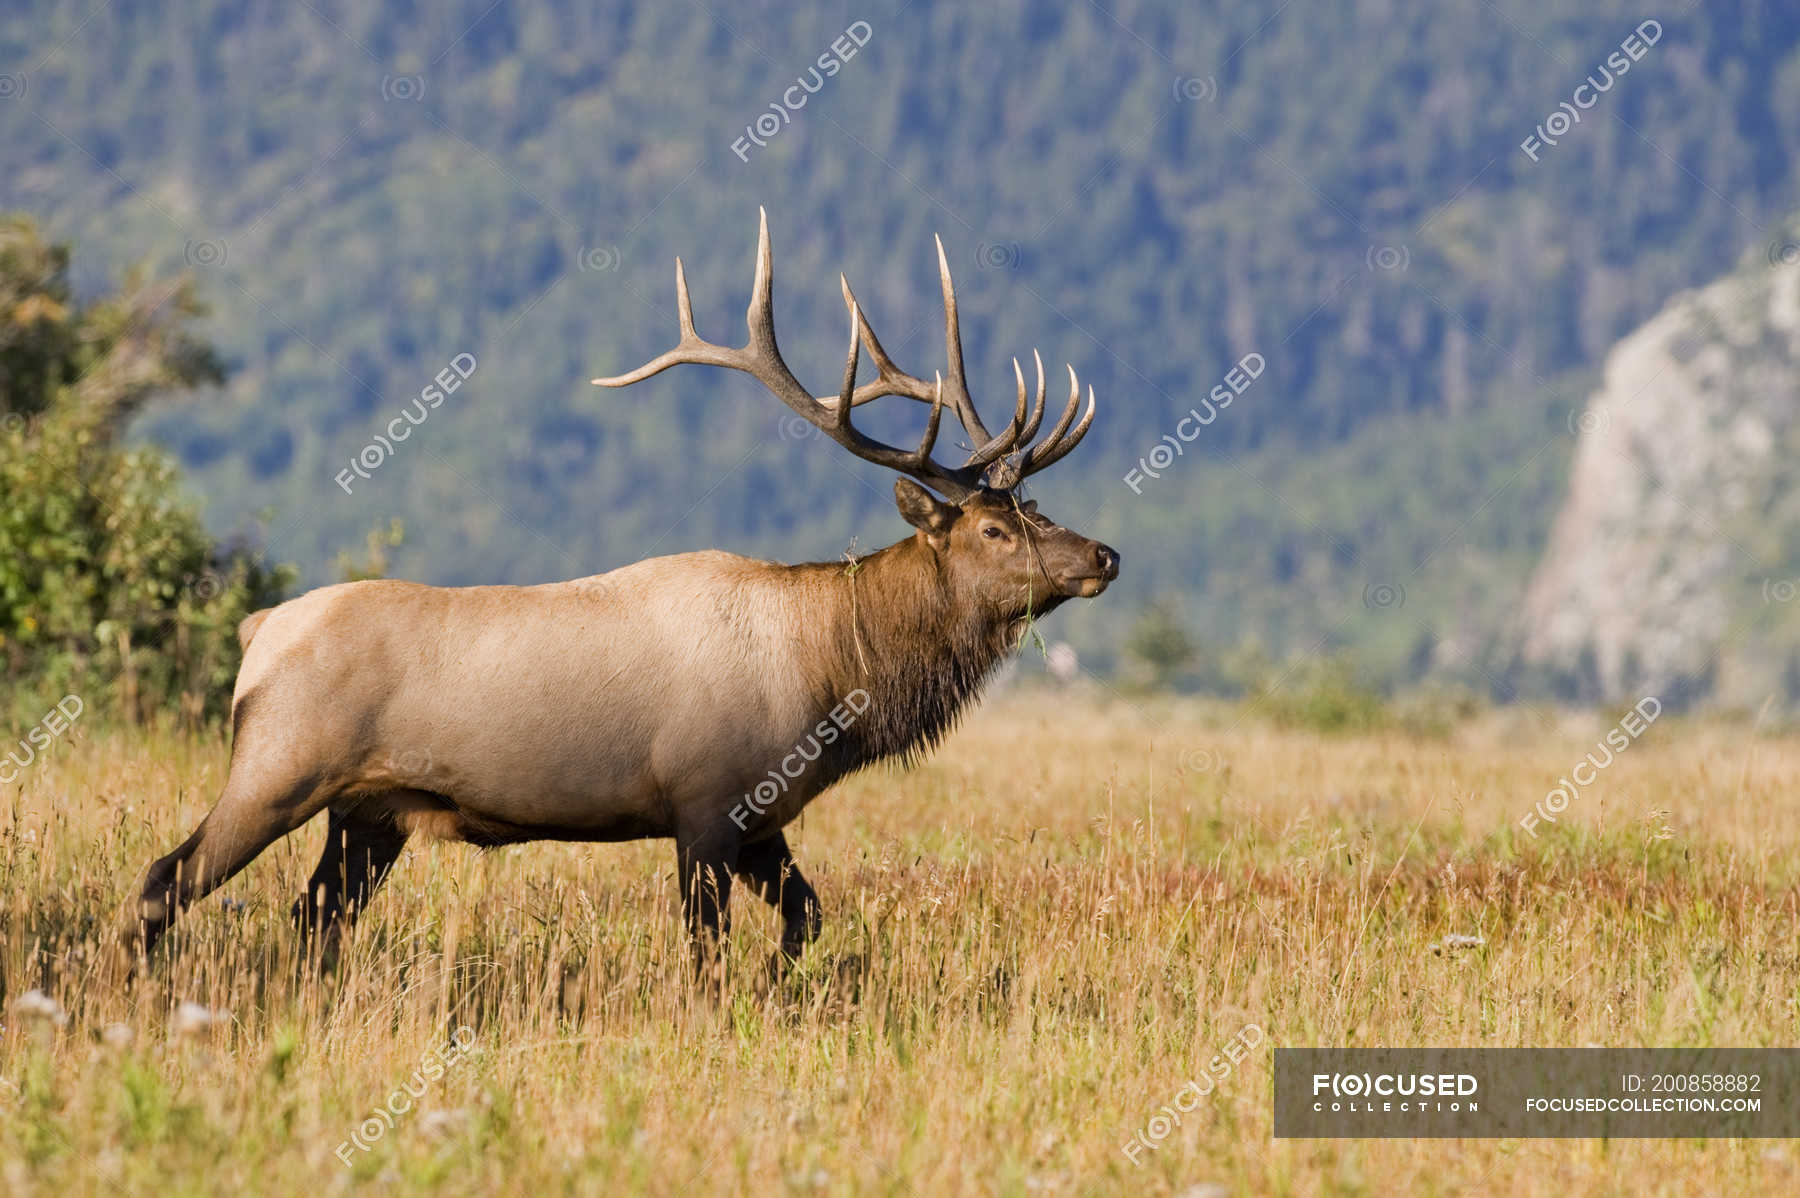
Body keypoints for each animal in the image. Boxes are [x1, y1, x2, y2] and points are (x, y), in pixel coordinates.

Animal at [126, 211, 1119, 978]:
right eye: (992, 530)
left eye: (1035, 507)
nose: (1104, 555)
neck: (831, 678)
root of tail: (258, 629)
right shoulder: (708, 805)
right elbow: (706, 953)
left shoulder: (762, 822)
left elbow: (807, 920)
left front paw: (781, 987)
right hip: (278, 766)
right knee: (164, 881)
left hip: (368, 812)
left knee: (313, 917)